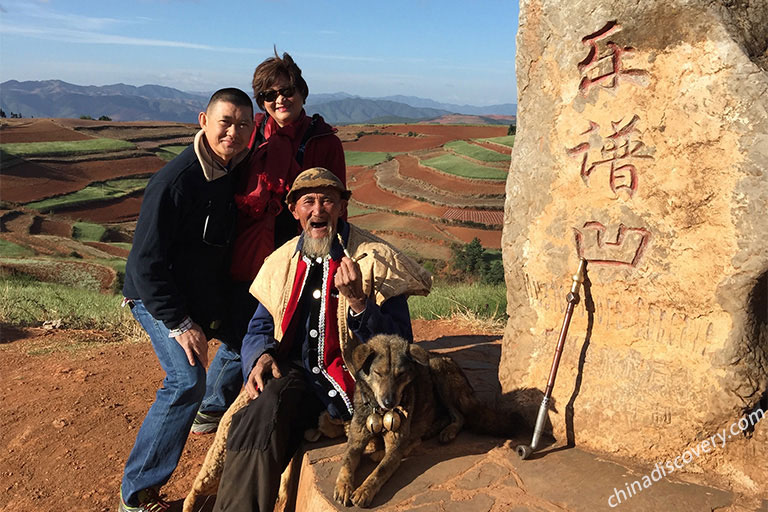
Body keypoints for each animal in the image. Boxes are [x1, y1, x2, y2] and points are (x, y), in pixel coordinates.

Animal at [332, 334, 520, 506]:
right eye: (378, 373)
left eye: (401, 375)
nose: (389, 402)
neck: (379, 411)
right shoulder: (355, 442)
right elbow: (346, 463)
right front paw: (343, 486)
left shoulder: (394, 447)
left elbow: (380, 471)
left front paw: (363, 490)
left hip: (438, 372)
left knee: (459, 417)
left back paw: (445, 433)